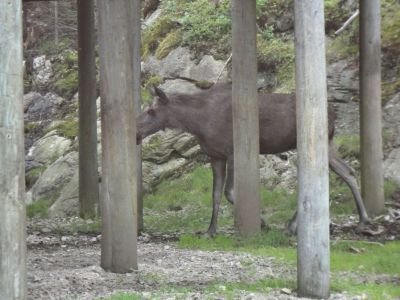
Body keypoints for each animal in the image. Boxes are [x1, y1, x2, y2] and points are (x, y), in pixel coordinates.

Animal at [137, 82, 368, 237]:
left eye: (151, 110)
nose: (136, 132)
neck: (197, 123)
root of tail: (334, 114)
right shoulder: (215, 156)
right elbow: (215, 195)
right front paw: (209, 231)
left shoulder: (232, 151)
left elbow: (230, 192)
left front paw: (262, 223)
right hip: (328, 143)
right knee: (347, 172)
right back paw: (362, 220)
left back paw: (293, 226)